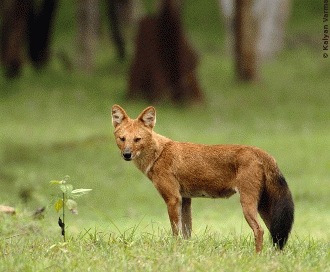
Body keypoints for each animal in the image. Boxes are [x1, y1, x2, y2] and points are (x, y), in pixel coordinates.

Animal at [111, 104, 294, 253]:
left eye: (137, 139)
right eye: (122, 139)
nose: (126, 154)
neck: (158, 154)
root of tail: (261, 152)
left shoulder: (173, 199)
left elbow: (176, 232)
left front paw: (174, 251)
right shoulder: (185, 199)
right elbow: (187, 233)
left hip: (248, 203)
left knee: (260, 230)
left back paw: (257, 256)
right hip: (264, 207)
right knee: (276, 234)